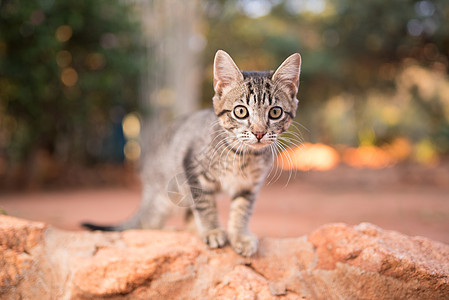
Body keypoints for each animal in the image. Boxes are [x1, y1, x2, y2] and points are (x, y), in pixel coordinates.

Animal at [84, 50, 300, 256]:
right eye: (241, 112)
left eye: (275, 112)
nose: (259, 133)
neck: (243, 155)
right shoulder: (193, 170)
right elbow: (205, 205)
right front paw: (212, 230)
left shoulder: (249, 186)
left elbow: (242, 210)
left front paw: (239, 235)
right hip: (167, 195)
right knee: (146, 223)